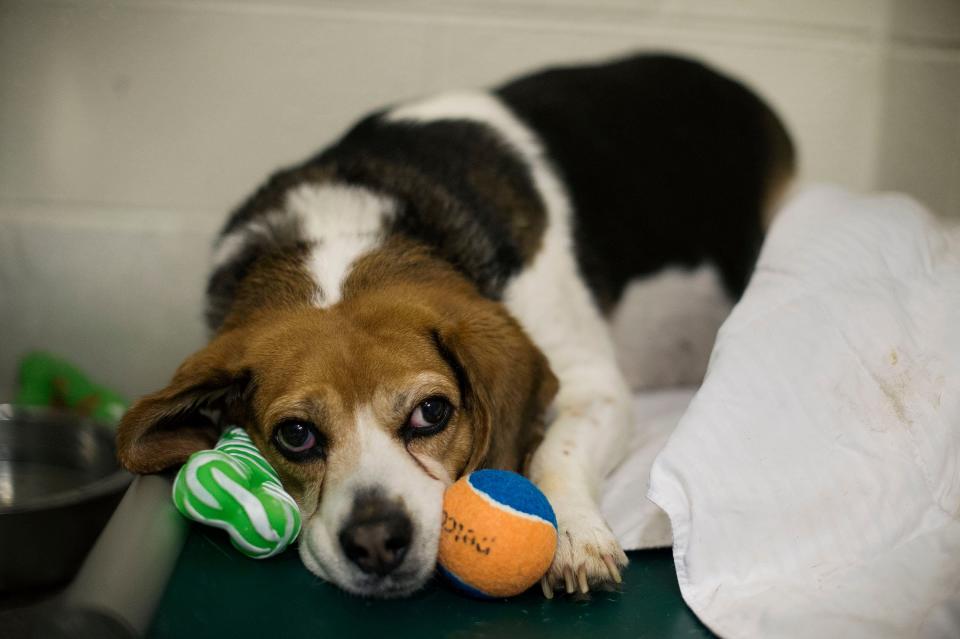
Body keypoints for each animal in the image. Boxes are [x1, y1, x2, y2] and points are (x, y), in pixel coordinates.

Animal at [116, 53, 792, 600]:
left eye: (432, 413)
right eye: (296, 435)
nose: (377, 542)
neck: (346, 228)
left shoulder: (592, 383)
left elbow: (556, 451)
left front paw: (574, 534)